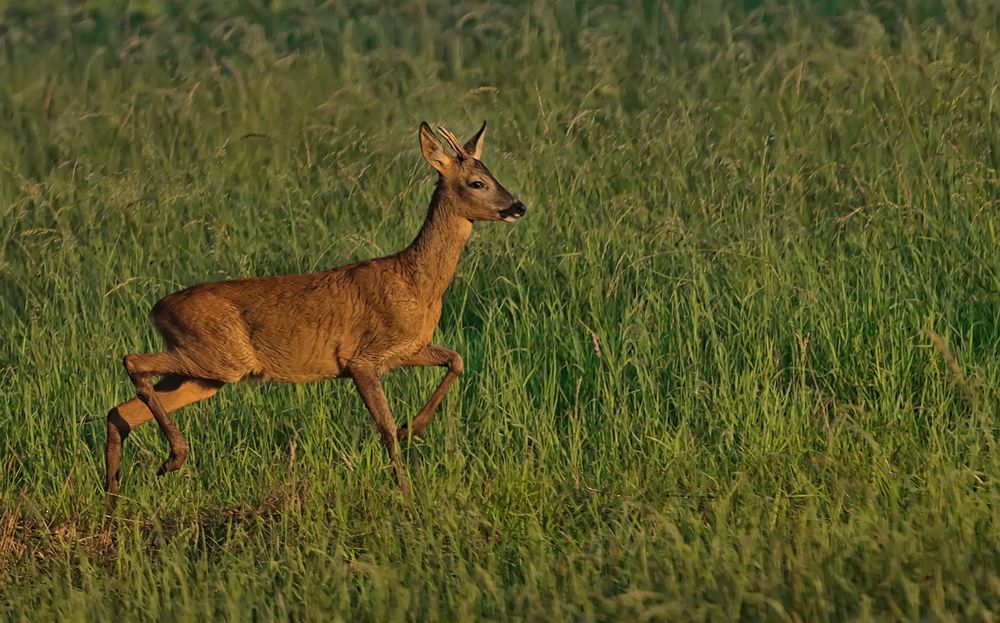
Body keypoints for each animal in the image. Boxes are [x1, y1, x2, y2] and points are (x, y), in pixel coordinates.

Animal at [105, 120, 528, 502]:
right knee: (131, 361)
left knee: (119, 411)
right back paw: (173, 458)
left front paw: (414, 428)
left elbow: (455, 359)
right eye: (477, 182)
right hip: (220, 358)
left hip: (204, 374)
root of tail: (157, 308)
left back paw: (115, 499)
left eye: (491, 174)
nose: (518, 206)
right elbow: (385, 428)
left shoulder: (407, 349)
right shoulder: (362, 360)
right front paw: (407, 493)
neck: (415, 282)